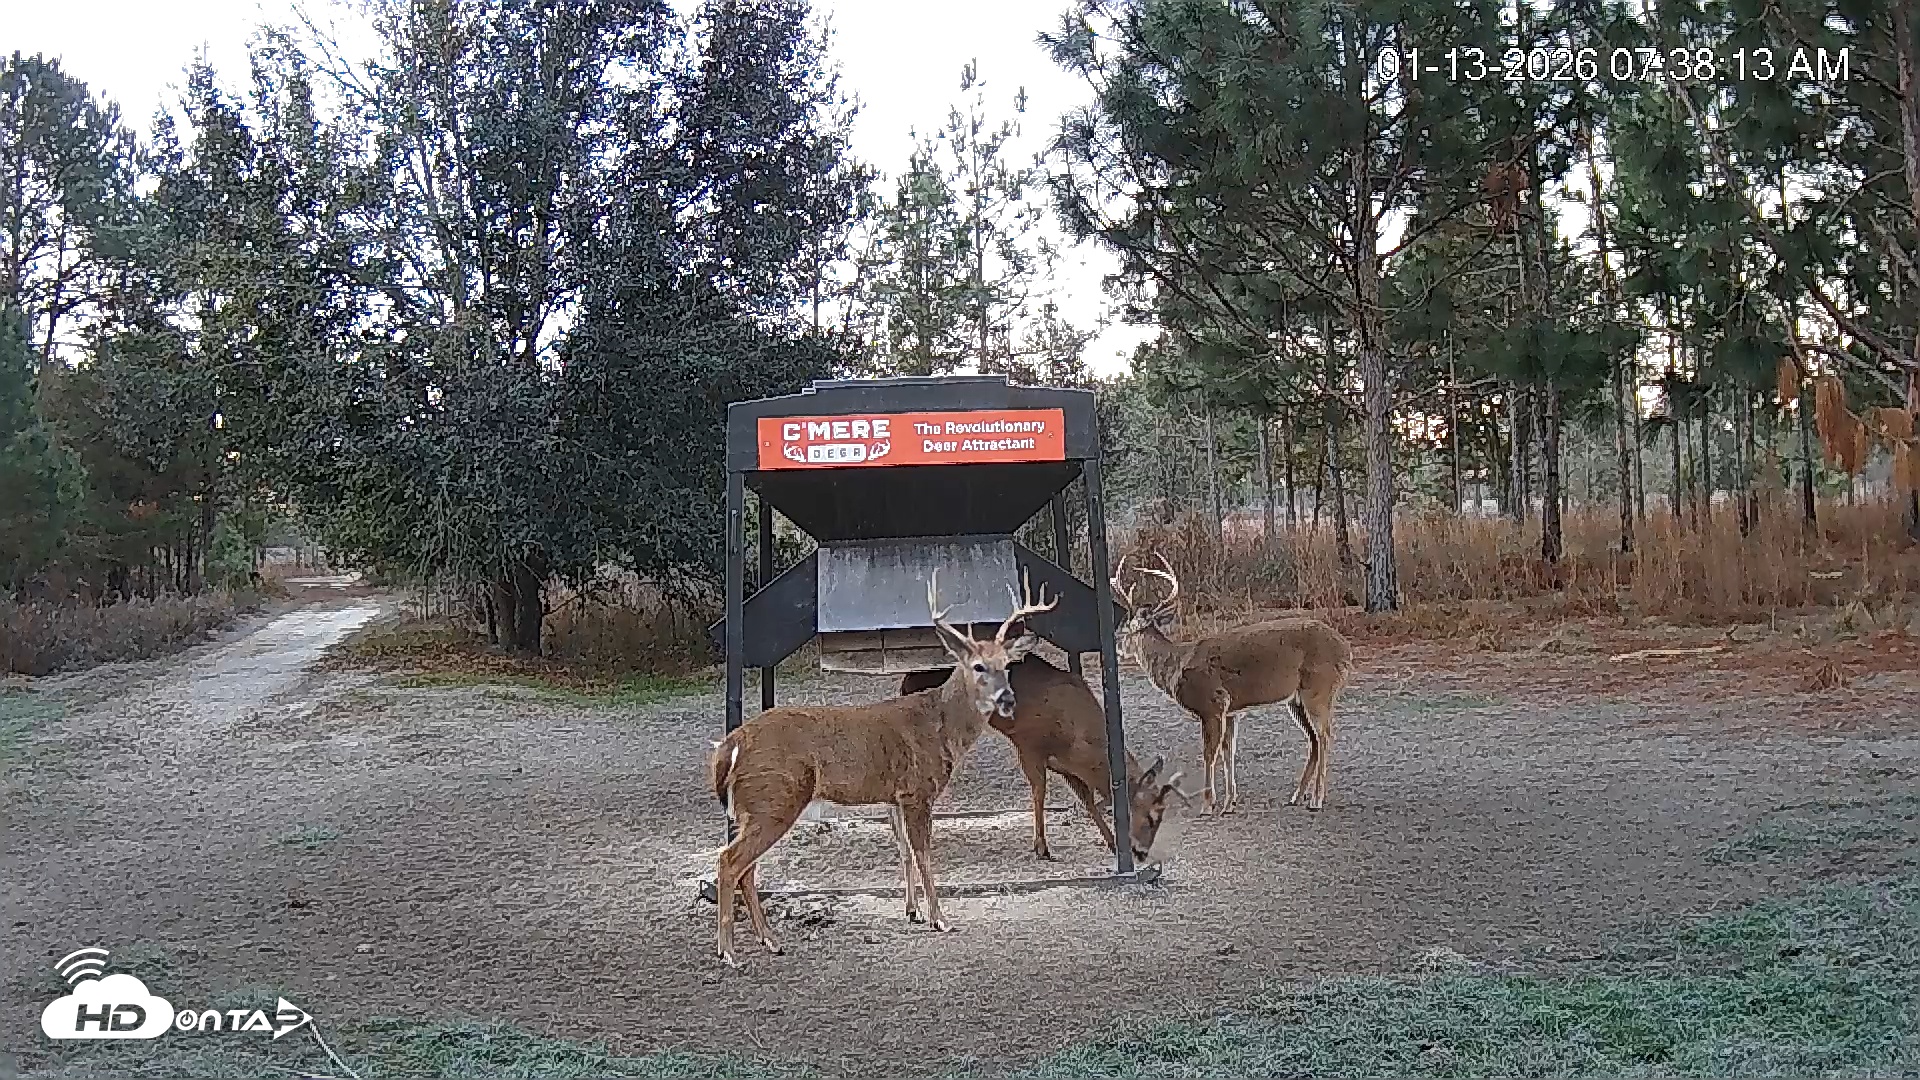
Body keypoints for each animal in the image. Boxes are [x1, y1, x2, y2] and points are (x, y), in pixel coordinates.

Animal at [707, 570, 1057, 966]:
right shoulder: (918, 790)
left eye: (1007, 665)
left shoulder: (894, 795)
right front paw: (940, 919)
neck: (941, 726)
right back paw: (729, 951)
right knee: (729, 861)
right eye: (978, 666)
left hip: (756, 808)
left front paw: (912, 912)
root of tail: (732, 744)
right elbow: (923, 854)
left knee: (746, 867)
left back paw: (771, 940)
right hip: (774, 798)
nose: (1007, 698)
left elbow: (904, 851)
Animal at [899, 652, 1190, 865]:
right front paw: (1042, 847)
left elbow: (1087, 800)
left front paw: (1111, 842)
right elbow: (1039, 791)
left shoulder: (1068, 766)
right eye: (1151, 816)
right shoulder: (1029, 745)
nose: (1141, 853)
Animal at [1111, 555, 1354, 814]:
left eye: (1126, 629)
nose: (1117, 646)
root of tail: (1346, 650)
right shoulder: (1230, 711)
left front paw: (1208, 804)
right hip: (1296, 700)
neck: (1176, 666)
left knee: (1325, 736)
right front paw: (1229, 802)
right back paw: (1297, 796)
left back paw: (1316, 799)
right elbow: (1229, 752)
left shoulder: (1212, 703)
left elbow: (1209, 754)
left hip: (1318, 688)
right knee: (1314, 740)